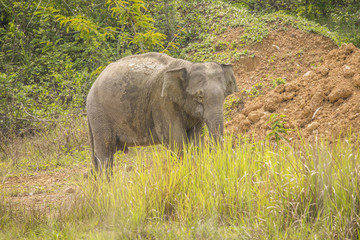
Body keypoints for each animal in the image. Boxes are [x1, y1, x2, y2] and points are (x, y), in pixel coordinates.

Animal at [86, 52, 239, 172]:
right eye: (199, 97)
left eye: (224, 95)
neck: (187, 66)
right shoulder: (162, 104)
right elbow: (176, 141)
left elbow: (195, 140)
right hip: (99, 114)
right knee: (105, 151)